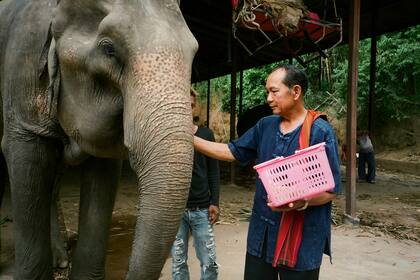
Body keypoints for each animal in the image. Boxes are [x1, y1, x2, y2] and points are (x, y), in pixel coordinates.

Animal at [0, 0, 199, 278]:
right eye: (108, 49)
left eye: (194, 53)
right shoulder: (22, 62)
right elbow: (27, 161)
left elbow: (102, 176)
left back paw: (60, 260)